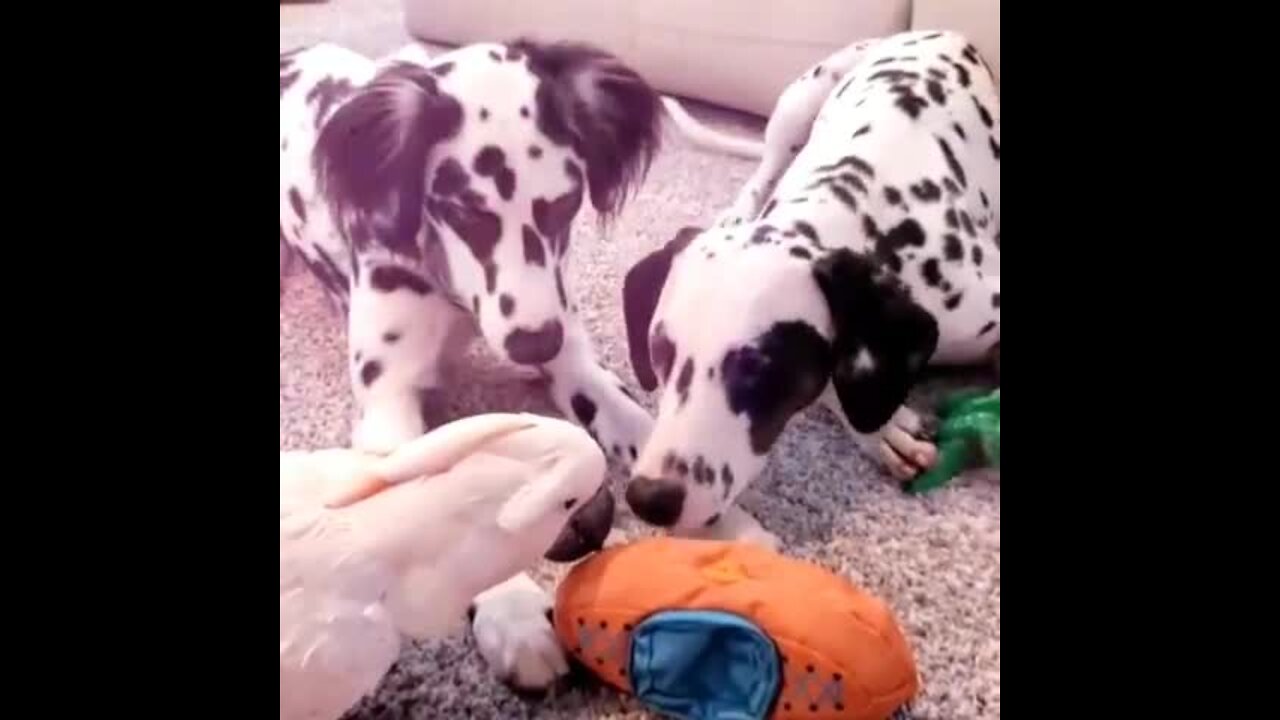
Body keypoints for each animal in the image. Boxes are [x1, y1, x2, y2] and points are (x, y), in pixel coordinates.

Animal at [277, 40, 660, 691]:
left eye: (564, 205)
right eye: (465, 213)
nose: (534, 344)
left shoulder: (571, 353)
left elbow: (635, 423)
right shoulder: (388, 403)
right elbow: (439, 506)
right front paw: (513, 611)